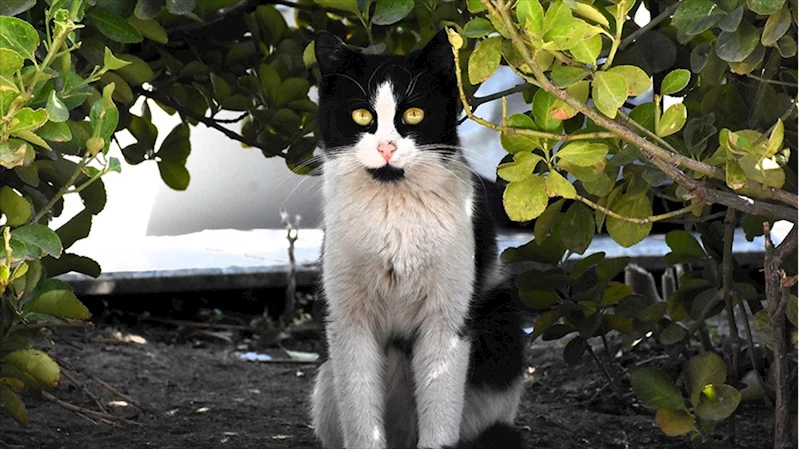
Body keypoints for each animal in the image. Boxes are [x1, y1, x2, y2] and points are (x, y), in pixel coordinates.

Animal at [312, 29, 532, 446]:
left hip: (502, 322)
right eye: (361, 115)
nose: (387, 147)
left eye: (413, 114)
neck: (393, 217)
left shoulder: (446, 323)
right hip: (327, 379)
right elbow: (362, 418)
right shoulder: (349, 321)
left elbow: (440, 412)